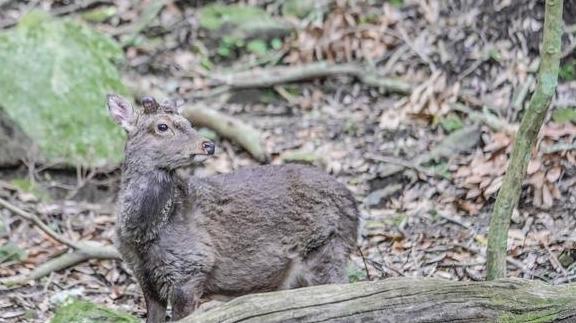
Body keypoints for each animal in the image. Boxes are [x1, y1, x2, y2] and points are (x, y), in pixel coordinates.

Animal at [106, 94, 358, 323]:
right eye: (162, 126)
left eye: (188, 122)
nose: (208, 144)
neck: (144, 235)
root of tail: (355, 206)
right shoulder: (143, 275)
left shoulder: (192, 268)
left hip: (327, 248)